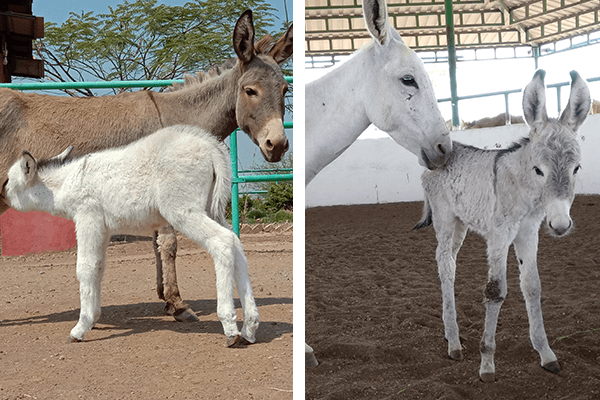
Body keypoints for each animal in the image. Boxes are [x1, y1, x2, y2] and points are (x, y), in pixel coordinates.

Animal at [2, 125, 260, 346]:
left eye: (8, 181)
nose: (1, 194)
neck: (67, 184)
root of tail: (210, 146)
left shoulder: (87, 218)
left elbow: (85, 268)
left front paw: (80, 328)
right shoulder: (103, 228)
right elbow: (98, 268)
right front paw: (94, 318)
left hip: (183, 211)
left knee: (222, 242)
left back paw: (230, 329)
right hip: (209, 209)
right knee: (235, 243)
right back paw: (249, 328)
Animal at [414, 70, 588, 382]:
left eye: (576, 168)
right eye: (539, 170)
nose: (560, 225)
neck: (522, 188)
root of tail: (439, 156)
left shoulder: (528, 233)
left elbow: (532, 286)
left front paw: (546, 354)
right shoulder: (498, 236)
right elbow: (495, 291)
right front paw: (487, 364)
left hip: (460, 223)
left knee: (451, 262)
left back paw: (450, 334)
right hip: (445, 219)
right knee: (444, 265)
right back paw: (454, 343)